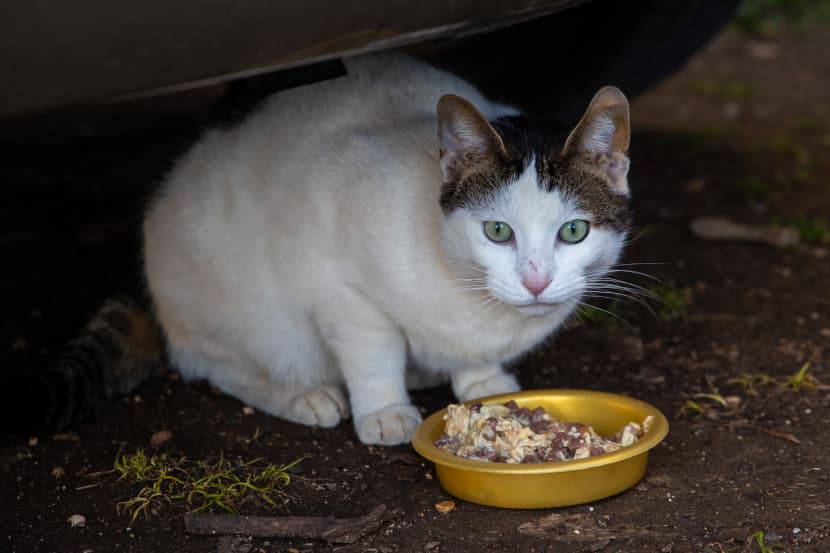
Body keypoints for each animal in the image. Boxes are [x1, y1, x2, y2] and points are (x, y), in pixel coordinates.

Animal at [141, 52, 632, 444]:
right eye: (497, 231)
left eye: (573, 231)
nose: (536, 281)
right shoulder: (342, 290)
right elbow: (374, 354)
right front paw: (385, 410)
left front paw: (483, 380)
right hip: (248, 312)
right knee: (222, 367)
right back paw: (303, 395)